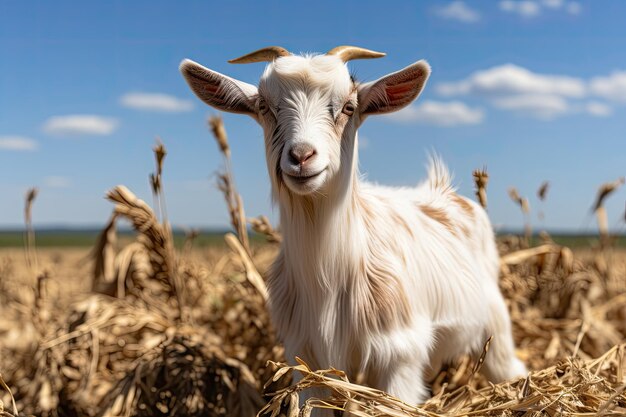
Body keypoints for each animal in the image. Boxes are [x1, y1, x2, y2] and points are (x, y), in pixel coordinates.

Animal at [180, 45, 528, 406]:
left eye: (349, 107)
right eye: (264, 106)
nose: (302, 156)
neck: (326, 272)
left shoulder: (399, 355)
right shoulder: (306, 360)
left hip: (495, 326)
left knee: (506, 364)